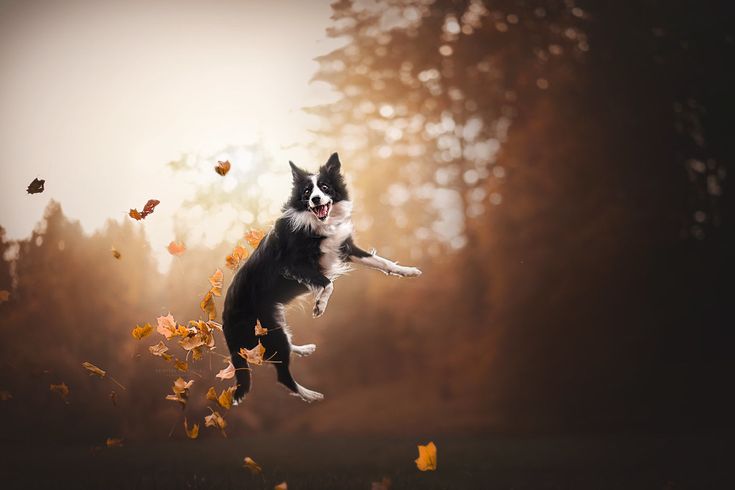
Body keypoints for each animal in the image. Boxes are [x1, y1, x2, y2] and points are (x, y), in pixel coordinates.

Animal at [223, 152, 420, 402]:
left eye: (325, 187)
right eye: (307, 191)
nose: (316, 199)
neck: (318, 222)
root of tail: (224, 321)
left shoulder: (344, 247)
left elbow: (382, 262)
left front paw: (408, 271)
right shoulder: (293, 264)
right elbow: (328, 283)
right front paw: (320, 306)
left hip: (273, 324)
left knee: (280, 349)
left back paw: (303, 349)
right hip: (268, 331)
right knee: (282, 375)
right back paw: (310, 395)